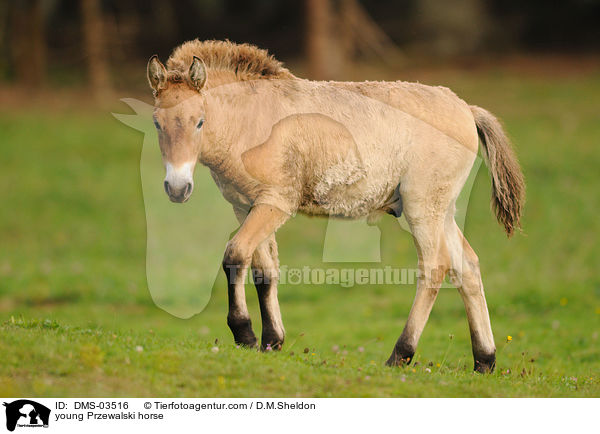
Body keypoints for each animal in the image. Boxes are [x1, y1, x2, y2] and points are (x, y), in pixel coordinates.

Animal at [148, 39, 524, 372]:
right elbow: (264, 270)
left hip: (422, 208)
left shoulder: (275, 204)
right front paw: (272, 341)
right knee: (468, 267)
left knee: (435, 268)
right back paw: (484, 361)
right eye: (156, 123)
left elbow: (235, 255)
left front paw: (245, 335)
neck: (252, 120)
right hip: (442, 210)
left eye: (199, 121)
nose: (177, 188)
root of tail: (466, 109)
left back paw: (400, 355)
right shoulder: (246, 206)